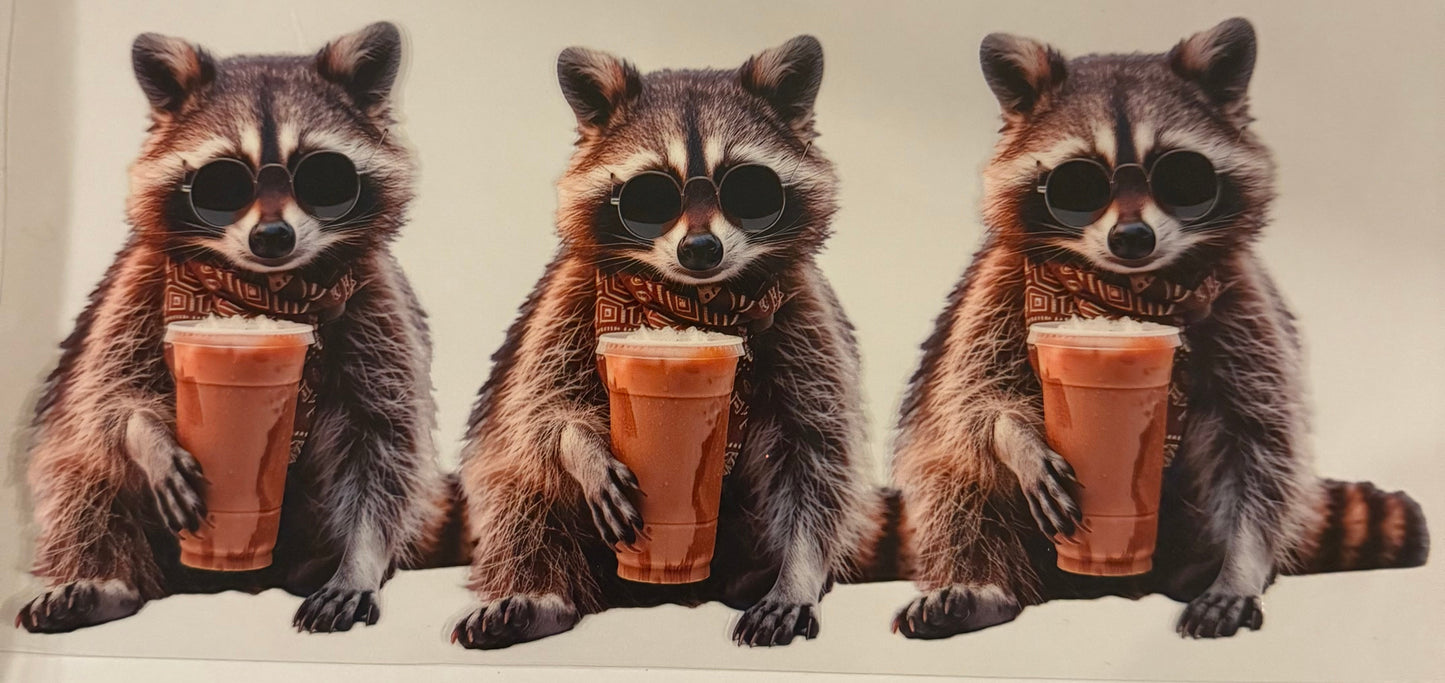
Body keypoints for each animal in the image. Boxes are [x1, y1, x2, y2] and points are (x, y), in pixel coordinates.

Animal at [16, 22, 448, 634]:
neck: (263, 290)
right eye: (222, 183)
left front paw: (359, 558)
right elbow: (108, 395)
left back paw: (317, 564)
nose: (272, 237)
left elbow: (383, 438)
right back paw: (106, 579)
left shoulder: (375, 301)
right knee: (75, 467)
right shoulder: (138, 287)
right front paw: (147, 435)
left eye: (323, 175)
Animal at [451, 36, 877, 649]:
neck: (690, 302)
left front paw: (797, 571)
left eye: (749, 188)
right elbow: (541, 408)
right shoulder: (571, 298)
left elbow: (817, 451)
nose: (700, 248)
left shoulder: (803, 313)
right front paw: (581, 445)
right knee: (517, 483)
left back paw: (755, 576)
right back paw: (538, 593)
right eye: (650, 196)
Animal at [890, 18, 1429, 640]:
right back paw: (982, 585)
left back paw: (1201, 569)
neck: (1124, 290)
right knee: (949, 472)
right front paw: (1016, 436)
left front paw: (1240, 565)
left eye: (1182, 175)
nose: (1131, 237)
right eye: (1078, 184)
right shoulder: (997, 288)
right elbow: (973, 398)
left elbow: (1261, 441)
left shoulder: (1243, 302)